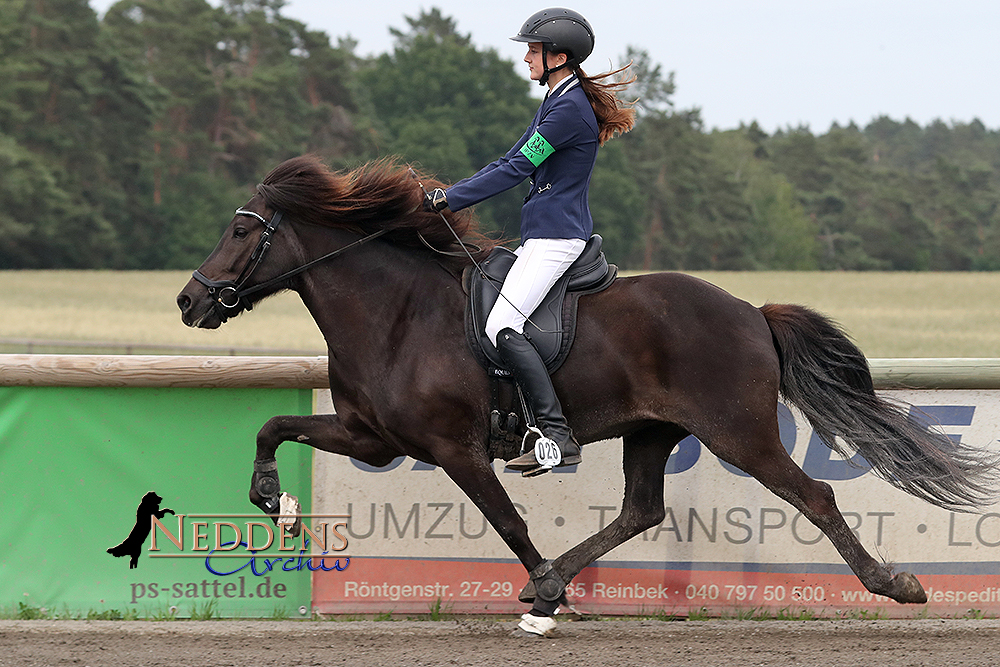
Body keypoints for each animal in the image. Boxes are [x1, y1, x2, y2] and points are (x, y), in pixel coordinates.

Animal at [180, 155, 1000, 632]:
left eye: (241, 230)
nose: (190, 301)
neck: (397, 313)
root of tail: (749, 311)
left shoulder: (454, 447)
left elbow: (508, 522)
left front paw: (542, 585)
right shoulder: (373, 436)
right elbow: (274, 424)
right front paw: (273, 501)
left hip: (740, 433)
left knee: (814, 496)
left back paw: (894, 584)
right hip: (652, 430)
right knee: (642, 509)